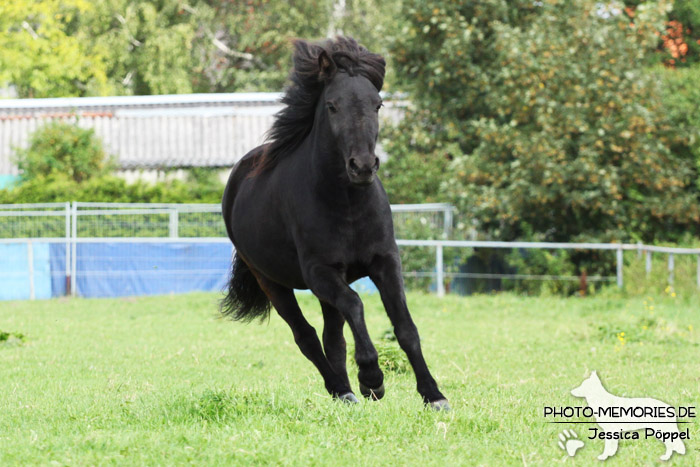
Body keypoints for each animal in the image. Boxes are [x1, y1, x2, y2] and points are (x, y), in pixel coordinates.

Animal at [221, 36, 448, 410]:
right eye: (332, 106)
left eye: (378, 105)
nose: (362, 166)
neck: (347, 203)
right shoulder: (320, 272)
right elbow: (356, 305)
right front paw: (372, 378)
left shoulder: (385, 262)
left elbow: (405, 327)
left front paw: (433, 395)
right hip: (272, 281)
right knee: (307, 336)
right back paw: (342, 389)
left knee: (332, 337)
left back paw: (345, 392)